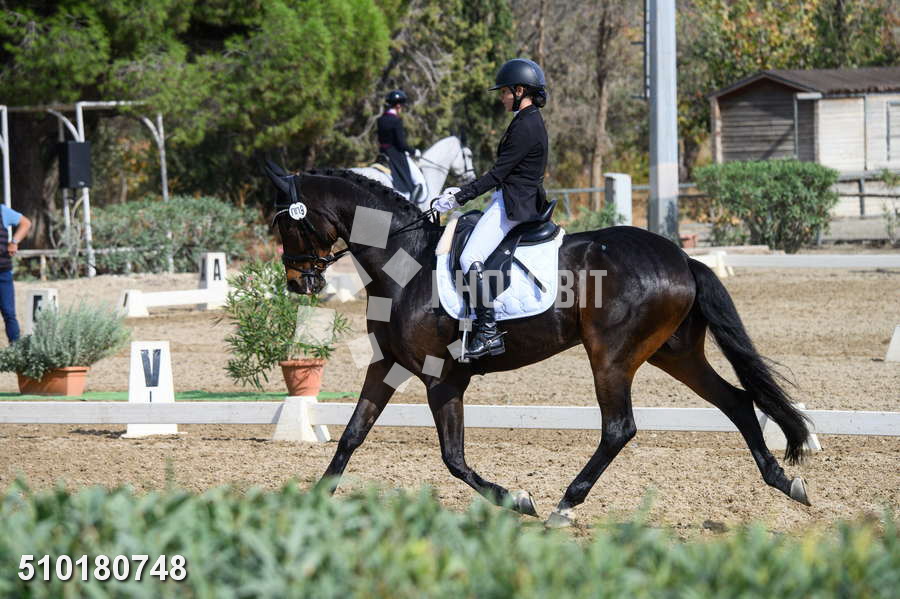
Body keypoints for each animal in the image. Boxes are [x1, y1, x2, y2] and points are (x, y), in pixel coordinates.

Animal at [264, 164, 812, 527]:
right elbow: (352, 435)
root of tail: (683, 259)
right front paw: (311, 502)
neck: (406, 264)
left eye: (289, 222)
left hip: (611, 357)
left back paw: (564, 506)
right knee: (737, 402)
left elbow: (453, 458)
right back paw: (784, 482)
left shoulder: (443, 378)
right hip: (674, 353)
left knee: (619, 428)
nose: (297, 283)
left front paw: (518, 499)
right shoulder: (387, 366)